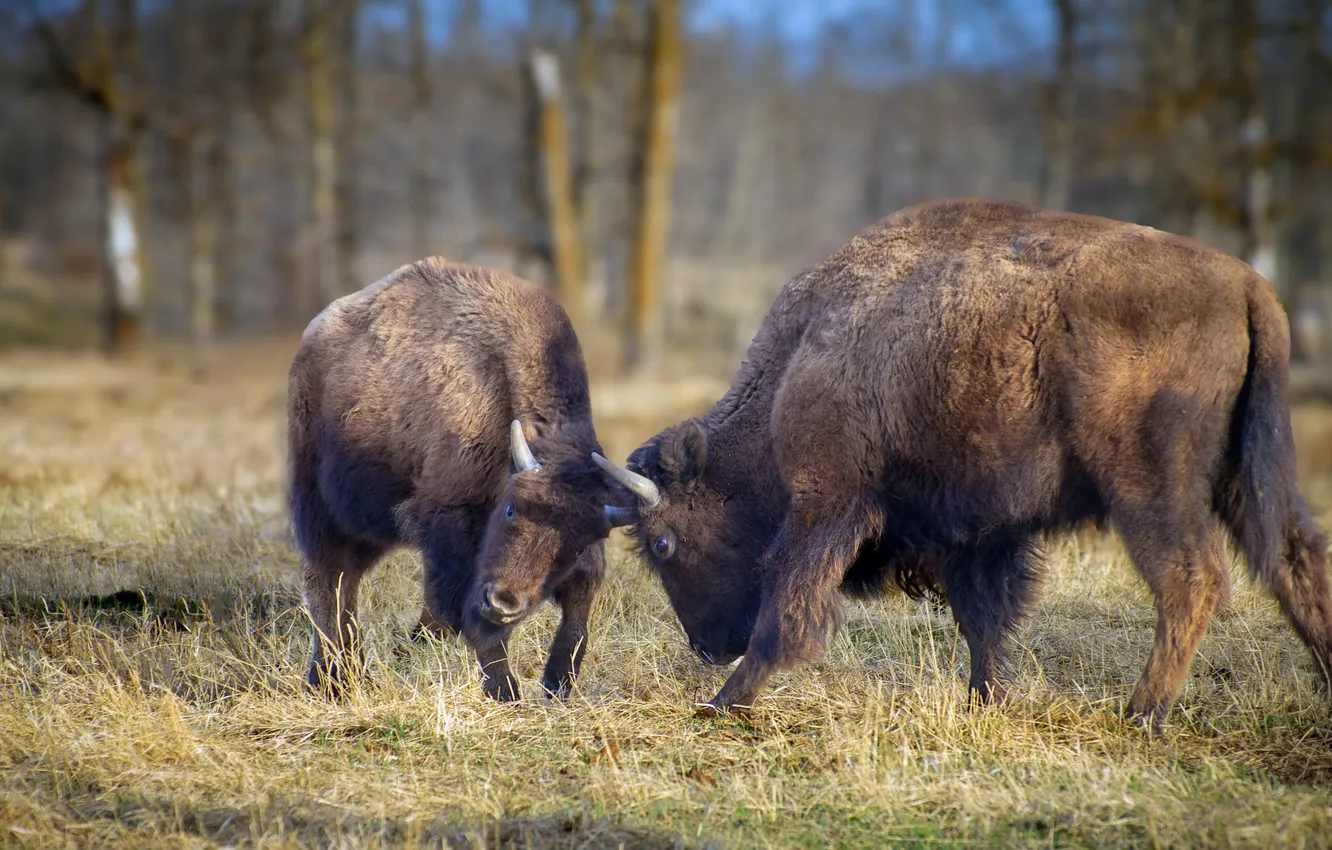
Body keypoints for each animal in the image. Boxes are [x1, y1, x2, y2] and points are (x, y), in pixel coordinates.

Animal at [288, 257, 617, 701]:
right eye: (511, 510)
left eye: (575, 542)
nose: (504, 603)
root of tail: (312, 336)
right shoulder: (450, 527)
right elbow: (471, 615)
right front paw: (506, 691)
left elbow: (579, 609)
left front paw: (557, 682)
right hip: (322, 509)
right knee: (328, 581)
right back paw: (332, 681)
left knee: (347, 586)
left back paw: (356, 673)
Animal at [595, 198, 1332, 729]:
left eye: (663, 542)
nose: (708, 645)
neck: (797, 361)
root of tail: (1248, 286)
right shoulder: (979, 530)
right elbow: (984, 617)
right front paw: (986, 700)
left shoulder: (826, 504)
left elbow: (789, 604)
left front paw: (724, 701)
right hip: (1248, 475)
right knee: (1294, 562)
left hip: (1150, 486)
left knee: (1191, 581)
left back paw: (1141, 714)